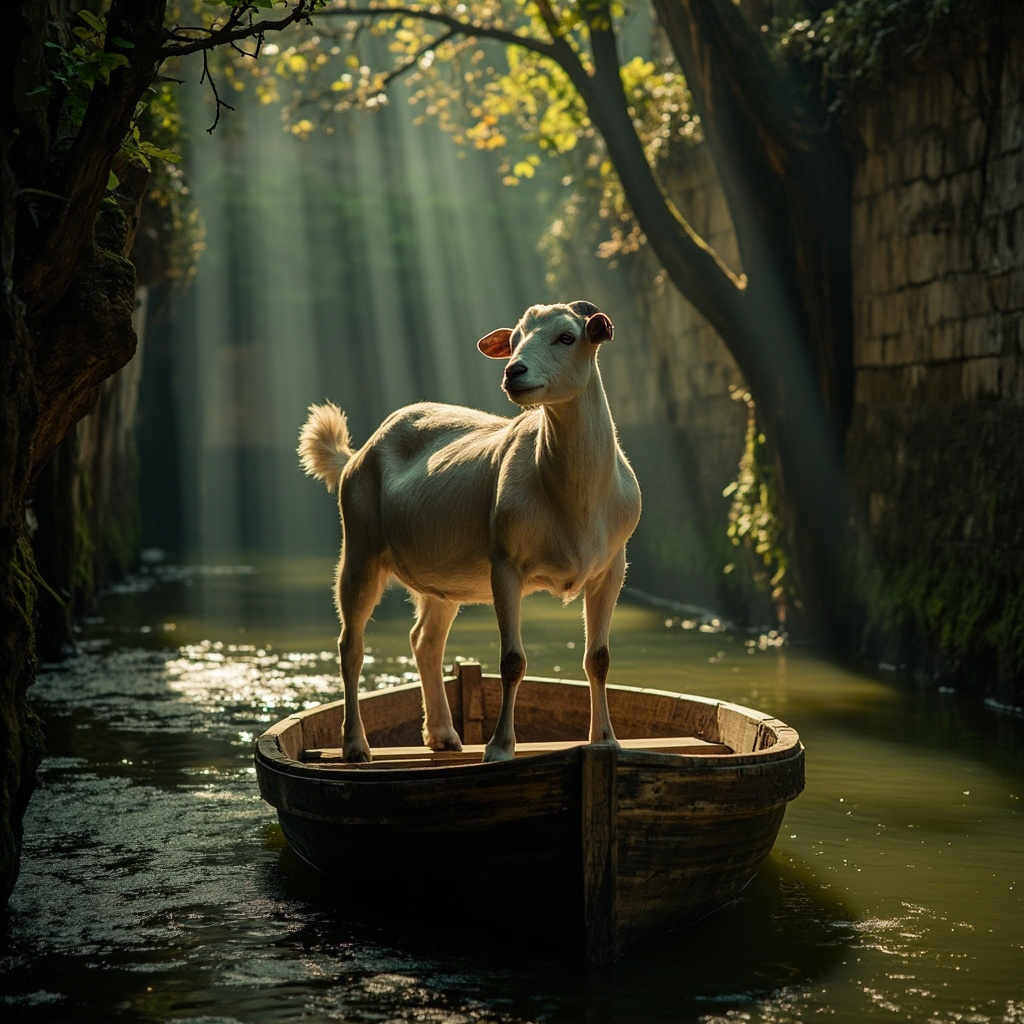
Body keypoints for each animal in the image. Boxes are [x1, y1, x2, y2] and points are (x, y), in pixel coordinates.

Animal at [298, 300, 641, 763]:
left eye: (567, 337)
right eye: (514, 339)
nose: (514, 371)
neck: (575, 504)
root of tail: (356, 454)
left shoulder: (611, 569)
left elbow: (598, 658)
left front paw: (605, 740)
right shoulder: (506, 566)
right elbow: (512, 661)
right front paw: (498, 748)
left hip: (438, 581)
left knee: (425, 641)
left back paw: (443, 734)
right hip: (360, 547)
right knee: (351, 645)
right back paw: (355, 746)